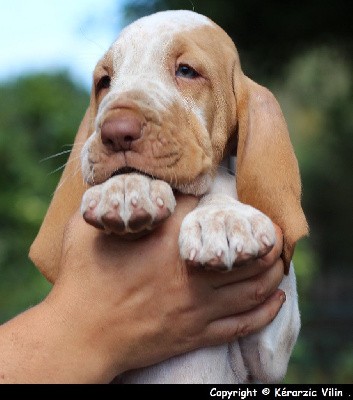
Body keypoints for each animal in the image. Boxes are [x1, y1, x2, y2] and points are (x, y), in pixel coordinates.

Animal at [30, 10, 306, 384]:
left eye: (186, 71)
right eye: (104, 81)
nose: (116, 133)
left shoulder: (268, 355)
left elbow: (223, 182)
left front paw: (223, 218)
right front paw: (127, 188)